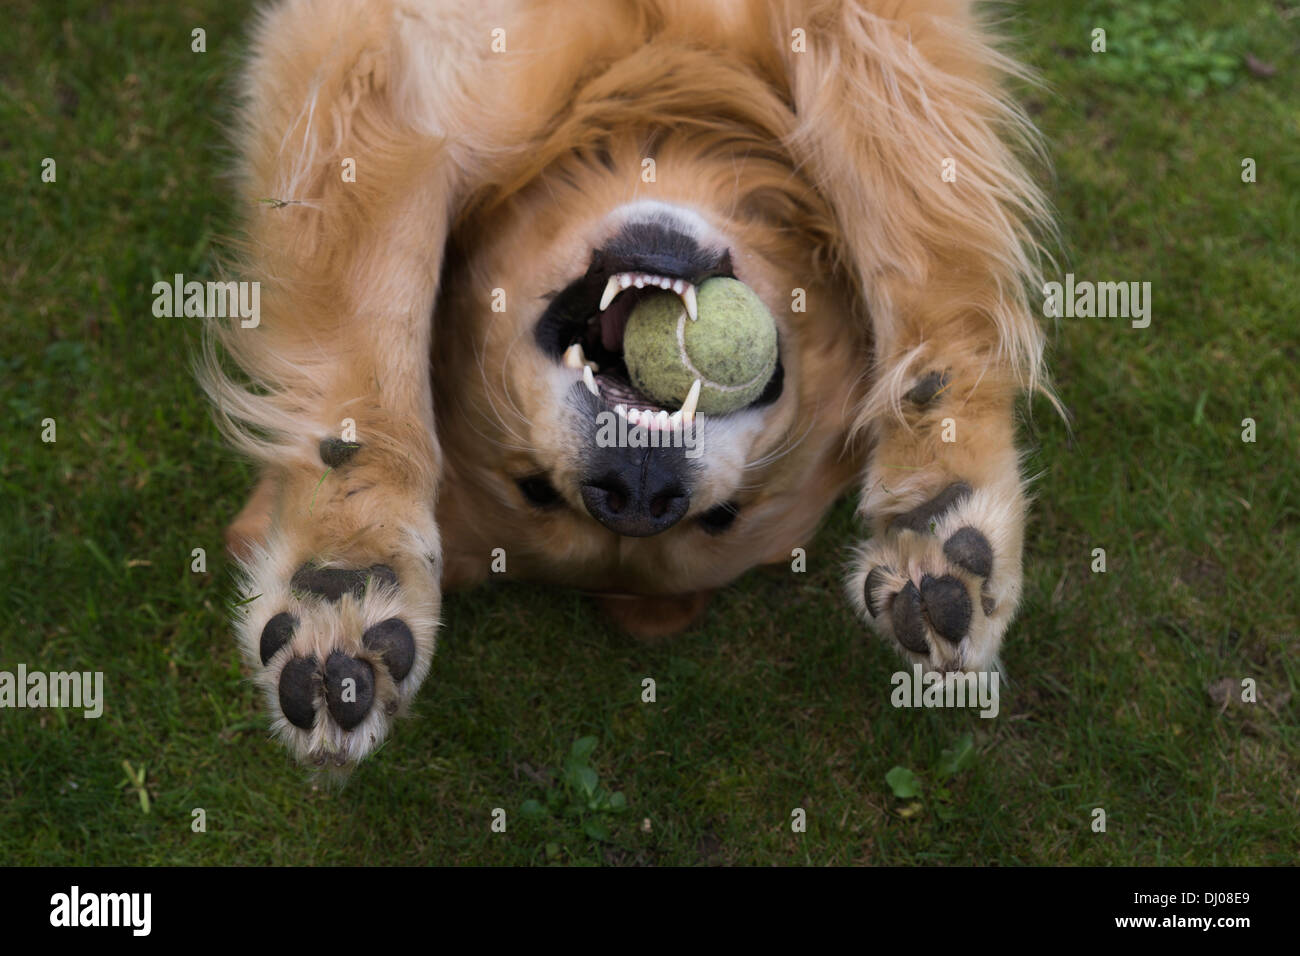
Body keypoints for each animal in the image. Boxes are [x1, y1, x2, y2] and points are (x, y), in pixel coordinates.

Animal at [205, 0, 1055, 764]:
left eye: (722, 518)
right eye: (533, 489)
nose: (638, 492)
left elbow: (923, 253)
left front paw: (942, 493)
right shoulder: (396, 68)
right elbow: (380, 311)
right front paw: (345, 564)